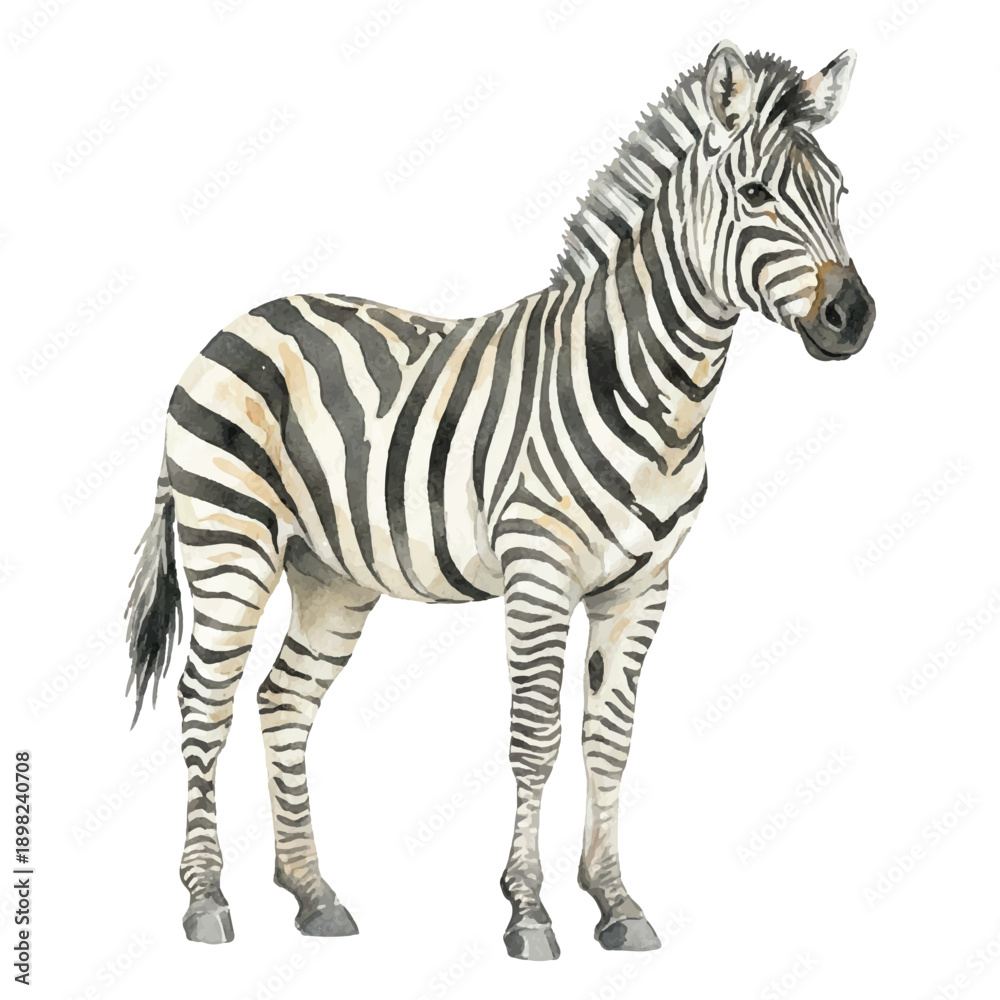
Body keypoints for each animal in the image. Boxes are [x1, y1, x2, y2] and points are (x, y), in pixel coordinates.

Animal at [125, 40, 875, 960]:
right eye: (757, 195)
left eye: (840, 194)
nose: (854, 317)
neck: (656, 394)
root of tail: (235, 323)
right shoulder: (539, 574)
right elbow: (536, 737)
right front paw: (529, 912)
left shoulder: (641, 588)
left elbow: (608, 741)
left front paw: (617, 904)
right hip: (227, 537)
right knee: (206, 700)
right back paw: (205, 901)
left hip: (330, 574)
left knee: (282, 699)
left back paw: (313, 896)